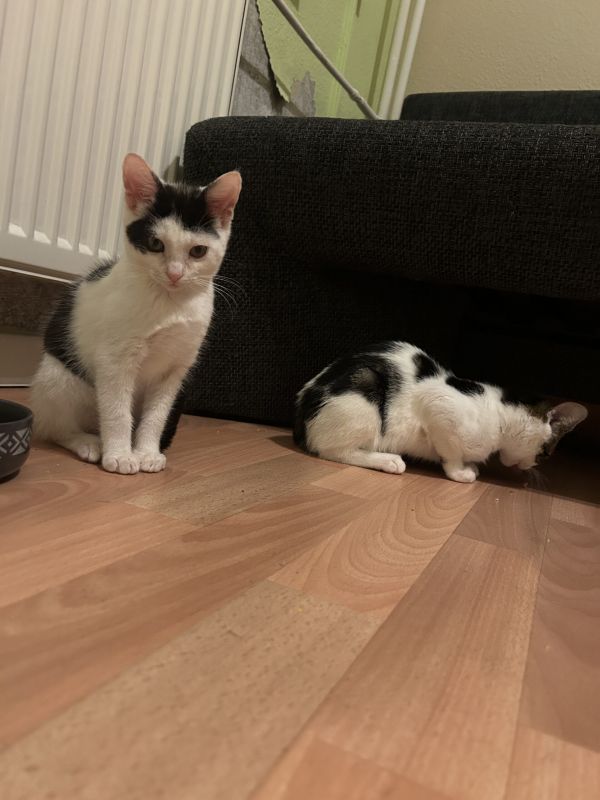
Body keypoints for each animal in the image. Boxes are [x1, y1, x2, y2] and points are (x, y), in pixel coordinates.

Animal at [30, 153, 241, 474]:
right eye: (155, 244)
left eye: (198, 251)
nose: (175, 274)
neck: (169, 302)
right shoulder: (114, 360)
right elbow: (117, 410)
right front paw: (120, 455)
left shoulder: (175, 369)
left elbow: (157, 414)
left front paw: (147, 452)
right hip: (59, 378)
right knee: (55, 427)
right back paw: (88, 442)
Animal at [294, 341, 587, 483]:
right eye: (546, 453)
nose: (530, 467)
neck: (500, 418)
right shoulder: (438, 407)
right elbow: (451, 453)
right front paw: (462, 473)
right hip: (363, 395)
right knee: (333, 450)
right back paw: (388, 460)